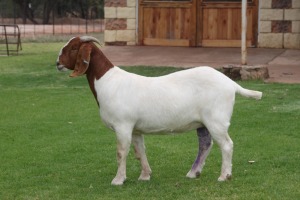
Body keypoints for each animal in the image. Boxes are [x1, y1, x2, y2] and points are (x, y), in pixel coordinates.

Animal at [56, 36, 262, 186]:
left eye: (73, 48)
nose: (57, 62)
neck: (107, 81)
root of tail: (231, 84)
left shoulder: (123, 126)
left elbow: (121, 152)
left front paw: (118, 180)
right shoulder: (135, 129)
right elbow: (139, 151)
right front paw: (145, 176)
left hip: (216, 120)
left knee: (226, 144)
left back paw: (224, 176)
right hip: (203, 123)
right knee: (205, 144)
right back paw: (193, 173)